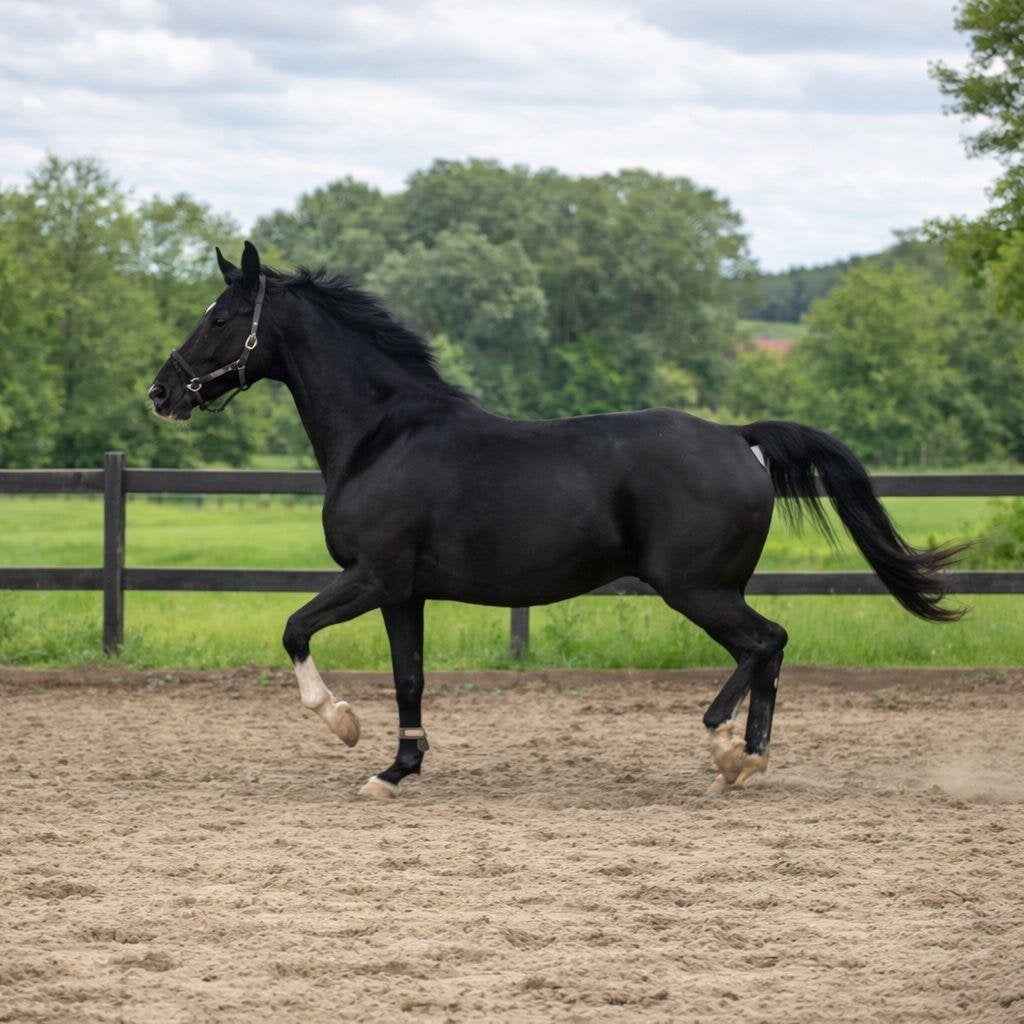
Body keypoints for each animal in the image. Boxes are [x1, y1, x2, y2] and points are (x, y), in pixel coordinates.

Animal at [147, 241, 964, 799]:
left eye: (222, 317)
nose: (161, 393)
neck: (385, 435)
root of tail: (739, 437)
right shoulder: (404, 592)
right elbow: (409, 677)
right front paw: (397, 768)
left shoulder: (371, 576)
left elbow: (293, 629)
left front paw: (343, 724)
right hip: (713, 589)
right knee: (766, 651)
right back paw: (742, 759)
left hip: (696, 589)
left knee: (767, 643)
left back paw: (728, 750)